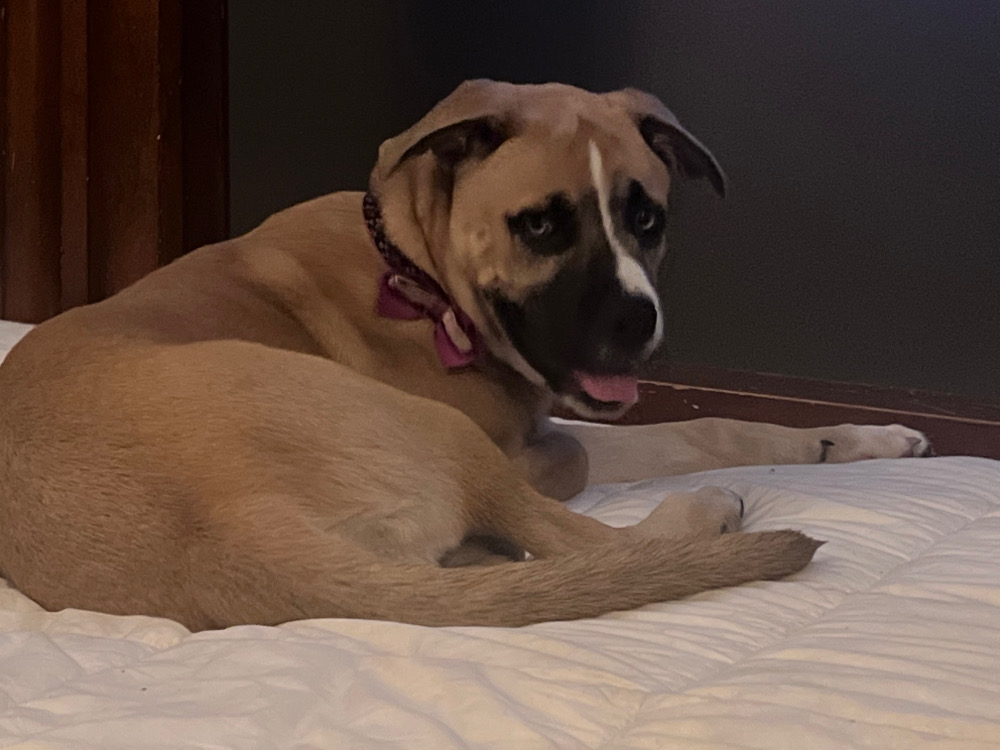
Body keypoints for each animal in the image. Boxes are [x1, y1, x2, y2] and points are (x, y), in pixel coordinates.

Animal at [0, 81, 930, 630]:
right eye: (541, 224)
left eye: (647, 217)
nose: (640, 323)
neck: (414, 269)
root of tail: (233, 533)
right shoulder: (526, 440)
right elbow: (614, 451)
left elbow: (712, 425)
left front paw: (860, 439)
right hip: (442, 435)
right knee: (584, 544)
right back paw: (704, 515)